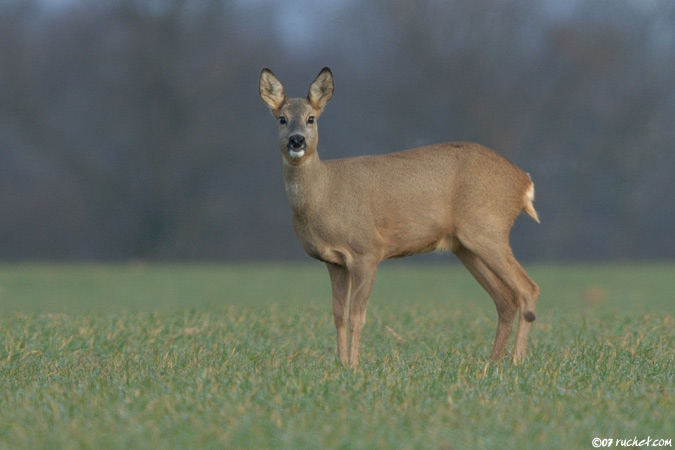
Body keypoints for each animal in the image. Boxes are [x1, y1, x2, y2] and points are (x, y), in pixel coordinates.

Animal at [262, 67, 540, 370]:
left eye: (311, 118)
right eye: (282, 119)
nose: (296, 140)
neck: (324, 193)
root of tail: (523, 182)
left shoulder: (367, 250)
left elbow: (358, 316)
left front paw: (354, 367)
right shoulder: (334, 262)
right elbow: (338, 316)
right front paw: (341, 364)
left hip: (487, 229)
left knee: (528, 289)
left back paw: (516, 361)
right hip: (464, 246)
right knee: (506, 299)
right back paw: (492, 363)